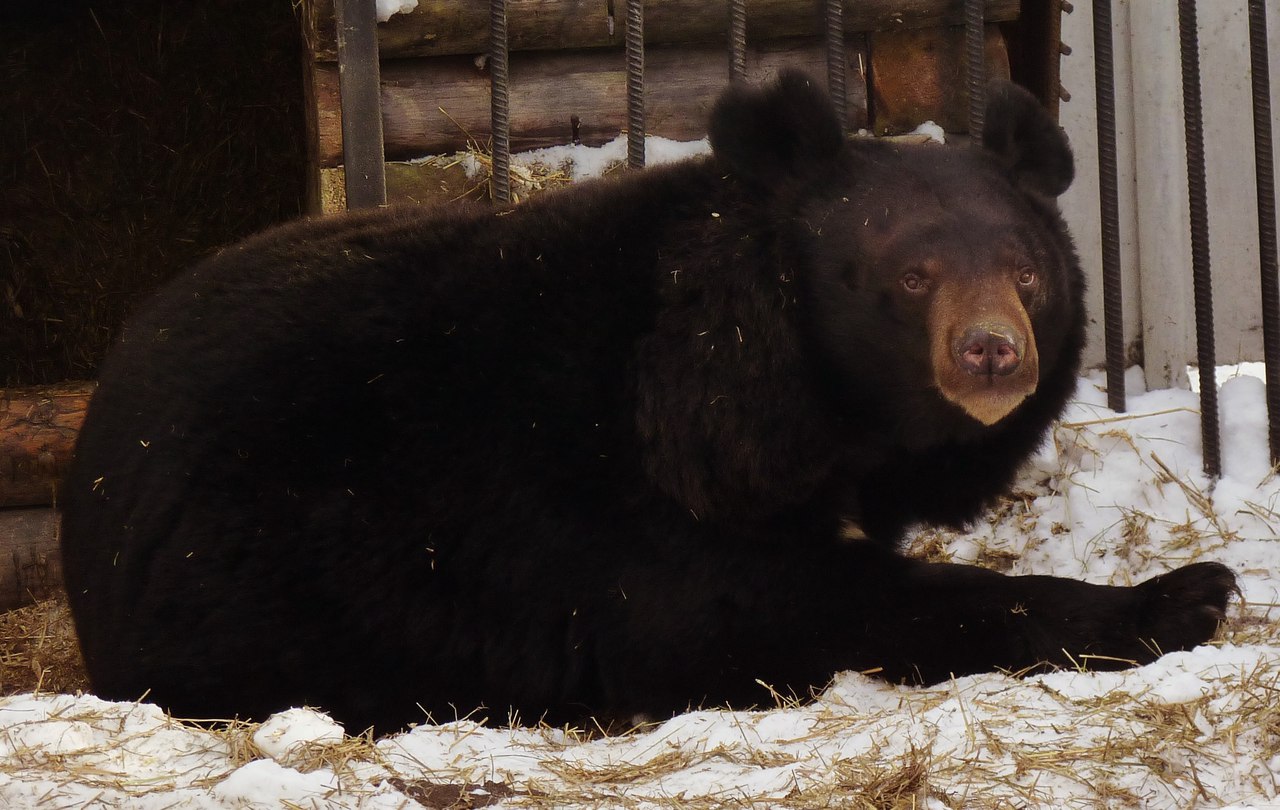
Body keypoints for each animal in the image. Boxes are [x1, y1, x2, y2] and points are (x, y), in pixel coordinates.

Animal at [57, 74, 1228, 731]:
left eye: (1025, 272)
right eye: (908, 276)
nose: (992, 355)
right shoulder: (622, 506)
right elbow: (776, 608)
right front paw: (1184, 594)